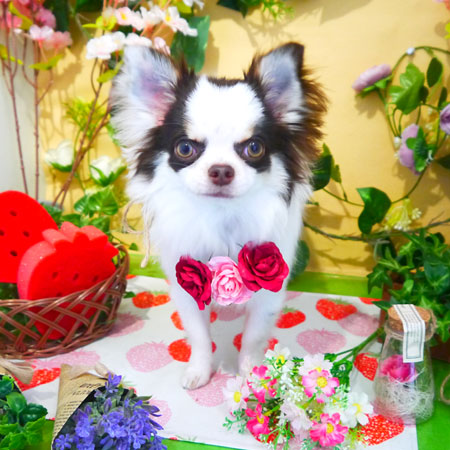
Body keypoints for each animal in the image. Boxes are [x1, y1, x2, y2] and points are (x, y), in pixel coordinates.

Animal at [110, 42, 326, 389]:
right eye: (185, 148)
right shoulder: (187, 288)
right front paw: (199, 371)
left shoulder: (268, 295)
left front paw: (251, 374)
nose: (221, 169)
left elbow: (253, 338)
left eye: (254, 148)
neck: (222, 217)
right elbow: (199, 336)